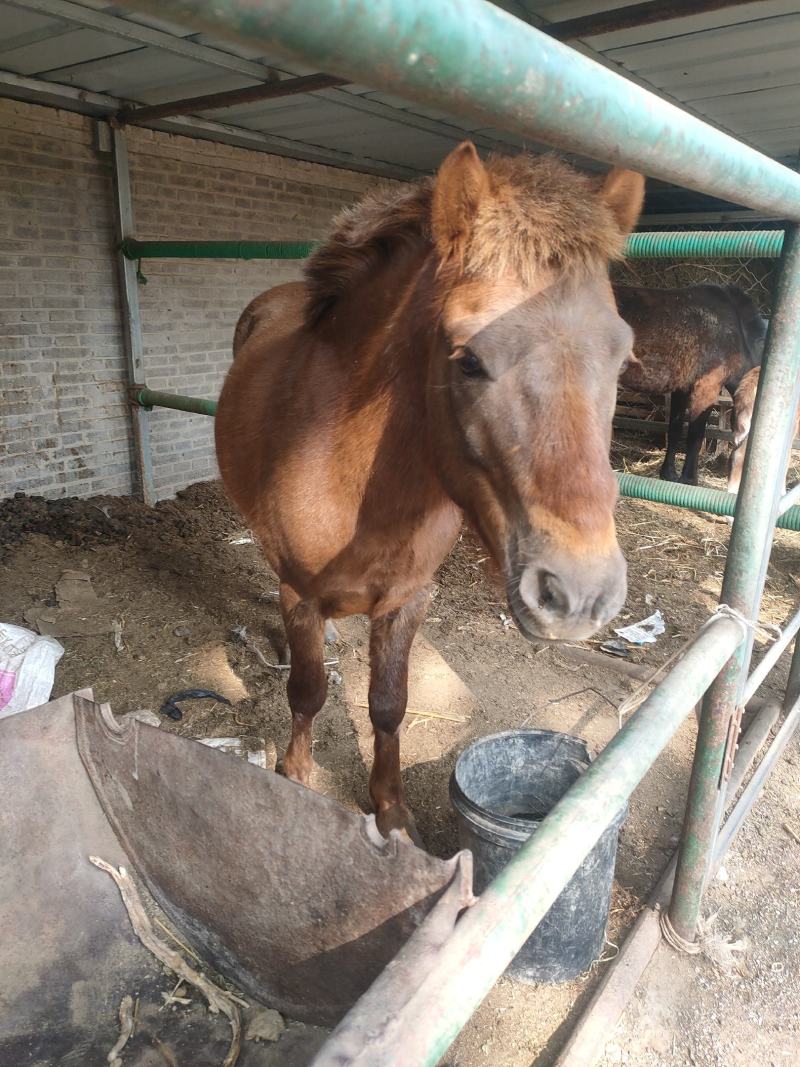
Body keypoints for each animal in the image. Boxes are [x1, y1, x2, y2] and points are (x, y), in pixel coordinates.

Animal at [216, 143, 644, 840]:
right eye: (467, 359)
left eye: (624, 360)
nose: (580, 594)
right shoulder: (302, 596)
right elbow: (307, 691)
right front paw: (297, 774)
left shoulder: (408, 599)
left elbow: (389, 704)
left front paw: (390, 809)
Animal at [615, 284, 767, 484]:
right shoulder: (706, 388)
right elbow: (695, 435)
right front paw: (690, 480)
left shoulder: (681, 388)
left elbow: (675, 429)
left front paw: (669, 474)